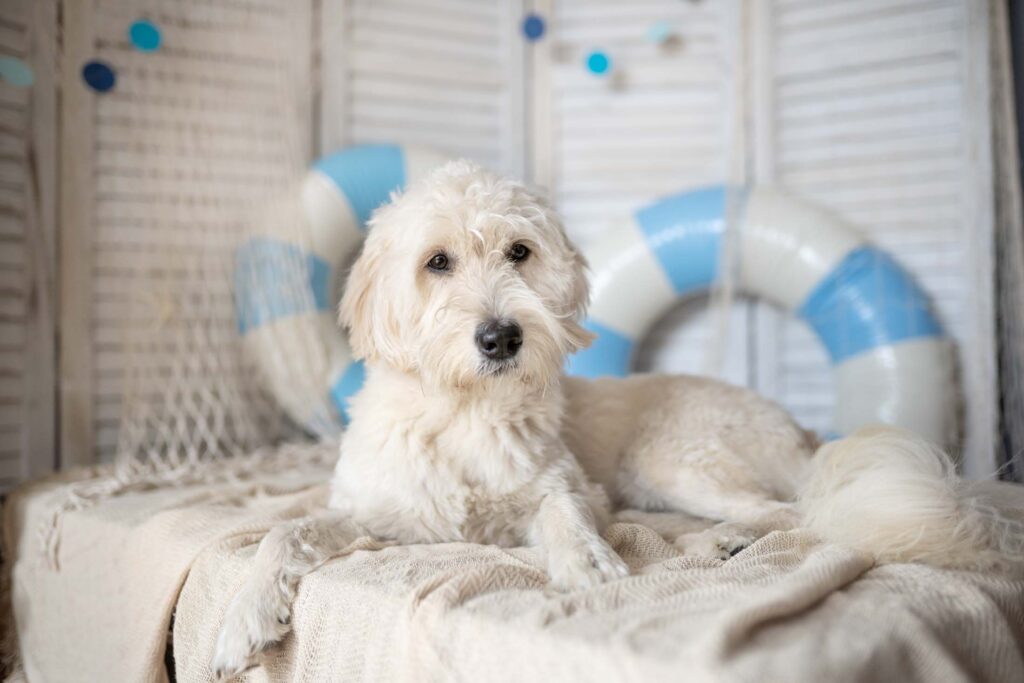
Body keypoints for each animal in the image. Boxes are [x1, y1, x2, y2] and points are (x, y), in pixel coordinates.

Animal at [211, 160, 1019, 679]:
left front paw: (588, 561)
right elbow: (287, 529)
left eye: (519, 252)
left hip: (672, 460)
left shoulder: (571, 488)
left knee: (797, 512)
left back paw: (725, 540)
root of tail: (804, 432)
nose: (502, 337)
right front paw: (242, 619)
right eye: (436, 262)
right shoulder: (379, 514)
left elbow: (564, 510)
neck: (463, 410)